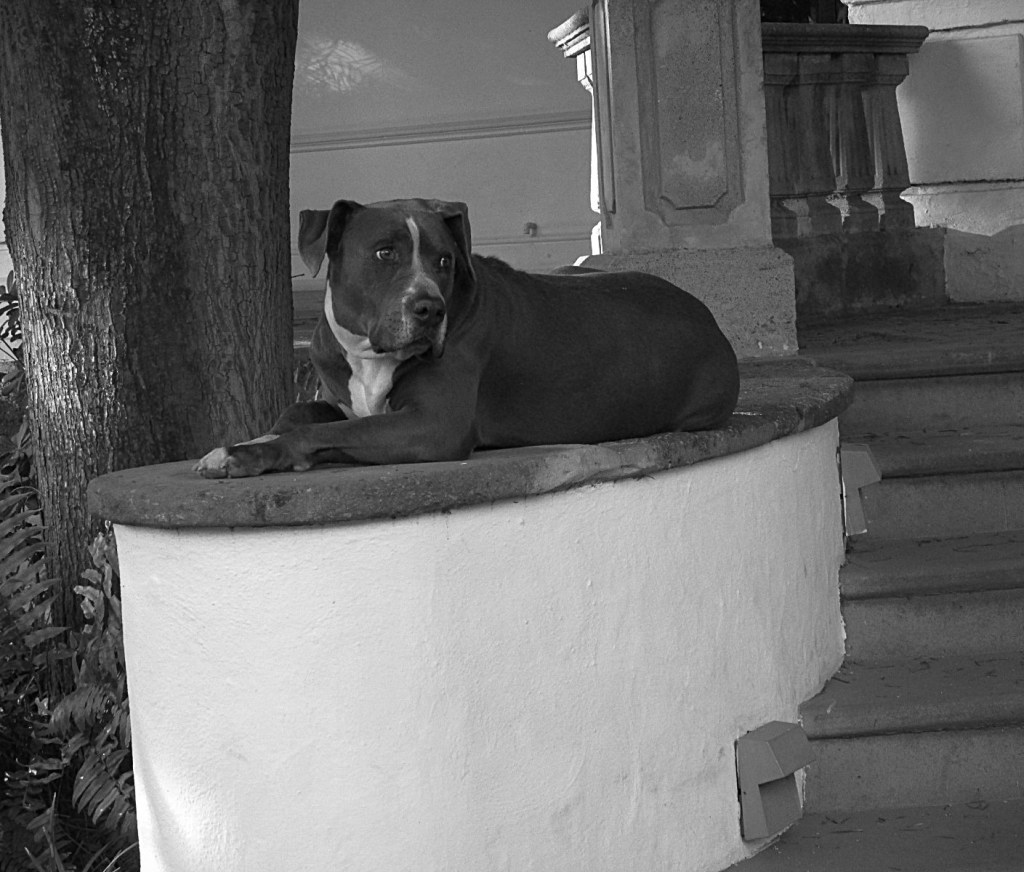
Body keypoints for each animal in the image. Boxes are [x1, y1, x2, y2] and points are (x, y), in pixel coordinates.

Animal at [194, 198, 739, 478]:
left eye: (445, 260)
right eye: (384, 252)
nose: (430, 309)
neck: (371, 357)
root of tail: (707, 315)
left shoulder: (432, 425)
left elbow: (322, 434)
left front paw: (242, 454)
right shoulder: (336, 395)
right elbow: (297, 415)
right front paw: (255, 439)